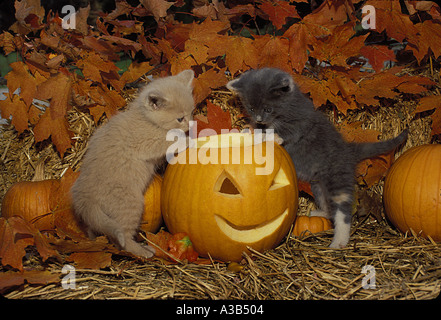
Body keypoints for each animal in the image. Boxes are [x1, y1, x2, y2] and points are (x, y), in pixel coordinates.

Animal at [72, 70, 194, 258]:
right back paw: (144, 251)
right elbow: (171, 142)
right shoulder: (146, 144)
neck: (147, 121)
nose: (190, 124)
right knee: (125, 239)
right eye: (180, 118)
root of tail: (85, 198)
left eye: (191, 112)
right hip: (132, 204)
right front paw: (189, 140)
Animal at [229, 67, 408, 248]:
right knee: (327, 203)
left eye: (268, 109)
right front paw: (248, 131)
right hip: (318, 184)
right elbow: (259, 129)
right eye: (251, 109)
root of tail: (348, 151)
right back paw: (320, 213)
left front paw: (269, 137)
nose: (259, 119)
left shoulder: (301, 121)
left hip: (337, 177)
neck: (288, 106)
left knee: (342, 210)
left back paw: (339, 241)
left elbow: (286, 132)